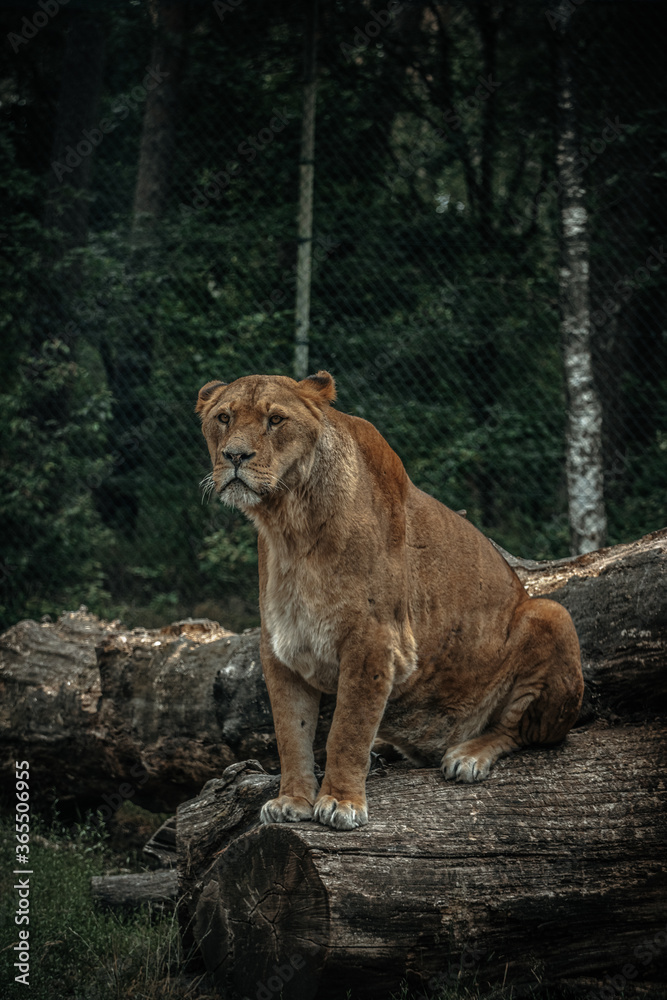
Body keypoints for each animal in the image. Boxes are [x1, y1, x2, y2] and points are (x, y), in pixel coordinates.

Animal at [196, 371, 584, 830]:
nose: (234, 455)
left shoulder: (374, 642)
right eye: (224, 417)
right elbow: (292, 734)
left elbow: (346, 730)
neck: (291, 525)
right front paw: (292, 800)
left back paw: (467, 755)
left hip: (551, 613)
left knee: (520, 732)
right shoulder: (281, 648)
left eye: (275, 419)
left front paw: (341, 802)